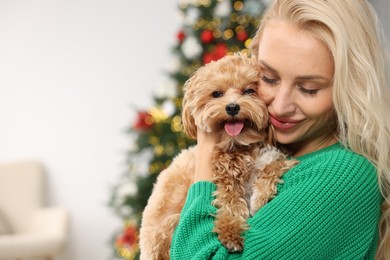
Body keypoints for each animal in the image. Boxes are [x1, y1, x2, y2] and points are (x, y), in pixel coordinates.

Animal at [139, 53, 298, 260]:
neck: (243, 146)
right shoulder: (226, 183)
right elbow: (231, 207)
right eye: (216, 94)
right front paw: (231, 233)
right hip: (164, 229)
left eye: (249, 91)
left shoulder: (273, 157)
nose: (232, 107)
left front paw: (260, 198)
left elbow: (272, 167)